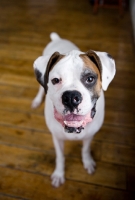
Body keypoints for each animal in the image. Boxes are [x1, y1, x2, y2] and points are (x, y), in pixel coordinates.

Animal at [31, 32, 116, 188]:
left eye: (90, 79)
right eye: (55, 80)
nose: (70, 97)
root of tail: (57, 39)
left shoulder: (89, 136)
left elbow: (85, 150)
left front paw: (87, 162)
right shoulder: (57, 138)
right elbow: (60, 157)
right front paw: (59, 174)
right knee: (41, 89)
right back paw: (36, 101)